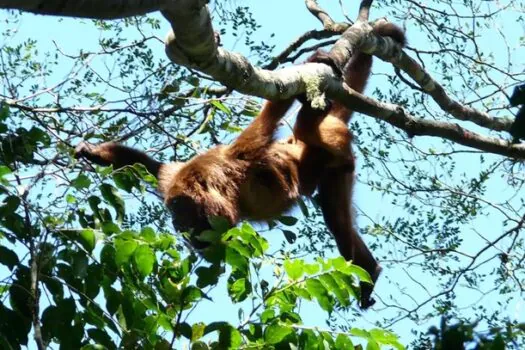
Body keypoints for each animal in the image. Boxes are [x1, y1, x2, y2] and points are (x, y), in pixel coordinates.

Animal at [73, 22, 406, 308]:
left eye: (181, 210)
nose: (177, 225)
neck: (220, 179)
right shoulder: (178, 176)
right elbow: (151, 167)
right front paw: (92, 151)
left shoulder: (242, 152)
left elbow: (271, 113)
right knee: (335, 214)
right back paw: (370, 270)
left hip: (332, 145)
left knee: (312, 147)